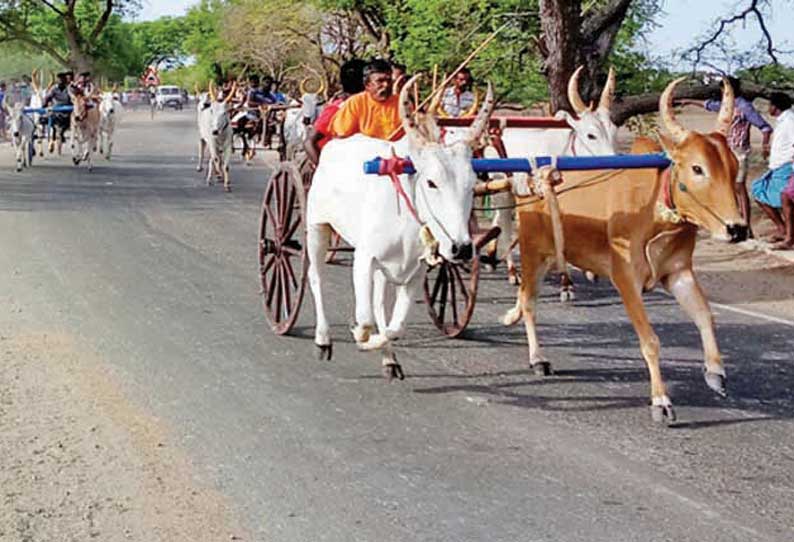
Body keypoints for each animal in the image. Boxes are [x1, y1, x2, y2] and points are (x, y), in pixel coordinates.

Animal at [306, 76, 492, 380]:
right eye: (431, 182)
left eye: (473, 183)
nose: (462, 248)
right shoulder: (364, 258)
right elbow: (365, 322)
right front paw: (358, 333)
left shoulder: (415, 272)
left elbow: (395, 327)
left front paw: (384, 350)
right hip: (316, 227)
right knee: (316, 276)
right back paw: (323, 339)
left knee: (380, 302)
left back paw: (388, 359)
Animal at [504, 77, 744, 424]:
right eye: (697, 168)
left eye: (734, 166)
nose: (737, 228)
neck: (654, 209)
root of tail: (536, 174)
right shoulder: (626, 278)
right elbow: (651, 341)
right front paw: (661, 401)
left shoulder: (679, 272)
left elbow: (705, 316)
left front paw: (715, 371)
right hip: (532, 249)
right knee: (529, 301)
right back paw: (538, 357)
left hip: (550, 254)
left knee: (525, 297)